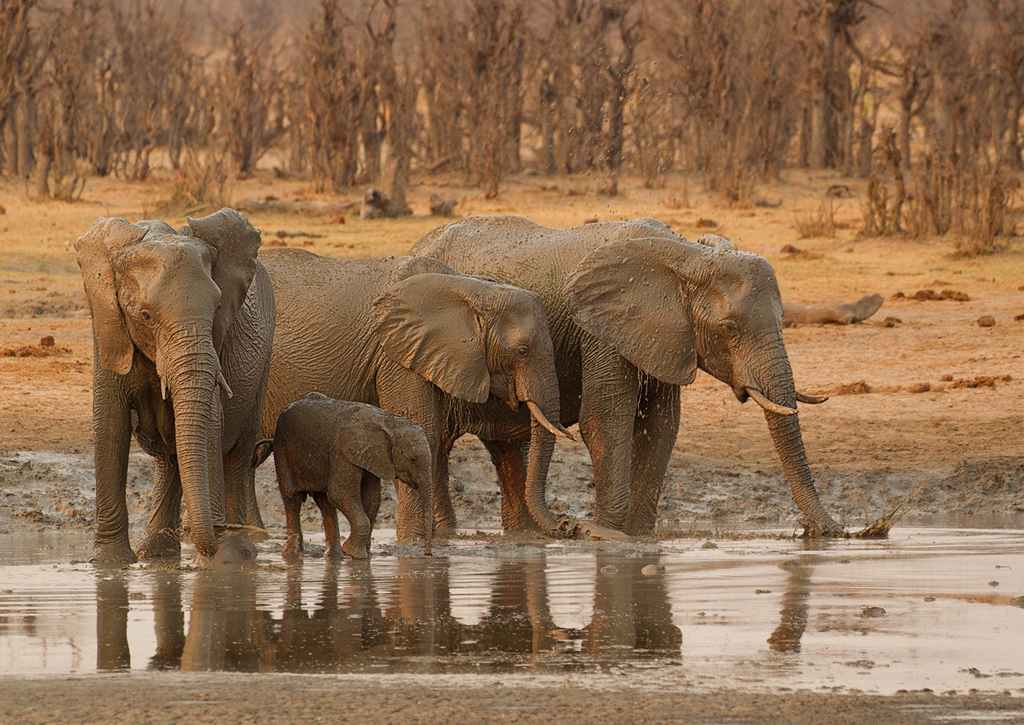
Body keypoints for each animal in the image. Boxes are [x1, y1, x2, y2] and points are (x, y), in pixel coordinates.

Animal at [75, 206, 274, 569]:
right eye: (145, 315)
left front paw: (220, 565)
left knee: (237, 456)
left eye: (218, 308)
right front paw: (108, 564)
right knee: (171, 457)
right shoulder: (108, 327)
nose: (214, 532)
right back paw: (156, 553)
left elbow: (209, 425)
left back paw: (242, 553)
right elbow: (110, 425)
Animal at [256, 248, 573, 544]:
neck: (469, 288)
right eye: (522, 351)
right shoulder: (396, 354)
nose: (568, 525)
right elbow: (421, 429)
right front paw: (412, 543)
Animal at [262, 393, 434, 565]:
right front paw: (355, 554)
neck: (387, 421)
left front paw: (363, 554)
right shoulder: (342, 451)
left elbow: (372, 500)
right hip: (282, 449)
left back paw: (333, 556)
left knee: (325, 503)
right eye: (413, 459)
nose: (428, 554)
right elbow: (340, 494)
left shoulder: (371, 457)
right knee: (292, 498)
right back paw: (292, 556)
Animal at [411, 215, 843, 536]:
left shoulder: (665, 334)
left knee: (507, 449)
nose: (828, 531)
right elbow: (606, 418)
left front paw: (636, 538)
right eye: (729, 328)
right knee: (437, 443)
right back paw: (446, 534)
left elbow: (660, 426)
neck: (688, 255)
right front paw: (608, 536)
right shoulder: (599, 328)